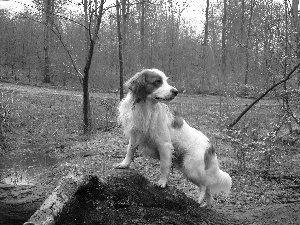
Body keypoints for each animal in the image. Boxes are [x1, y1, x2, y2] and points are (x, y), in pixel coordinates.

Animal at [115, 68, 232, 207]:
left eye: (166, 81)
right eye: (158, 81)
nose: (176, 91)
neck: (145, 108)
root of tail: (210, 145)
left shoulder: (164, 145)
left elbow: (164, 166)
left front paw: (162, 182)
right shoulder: (135, 134)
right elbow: (130, 150)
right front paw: (124, 164)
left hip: (190, 168)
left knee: (204, 185)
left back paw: (199, 201)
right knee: (208, 188)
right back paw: (206, 205)